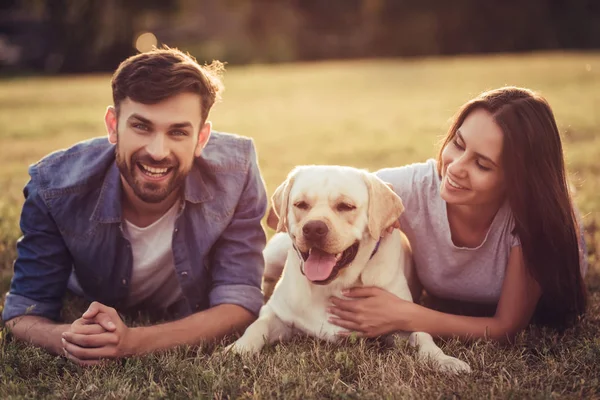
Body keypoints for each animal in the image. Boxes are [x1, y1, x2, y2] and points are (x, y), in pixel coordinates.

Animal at [229, 166, 468, 372]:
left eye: (345, 206)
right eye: (301, 204)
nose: (313, 228)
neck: (334, 285)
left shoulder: (399, 320)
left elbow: (422, 335)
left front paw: (444, 360)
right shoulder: (277, 314)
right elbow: (257, 326)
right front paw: (238, 348)